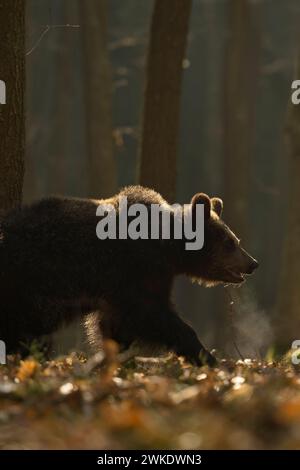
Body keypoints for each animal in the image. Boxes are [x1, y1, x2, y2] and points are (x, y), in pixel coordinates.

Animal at [0, 185, 258, 366]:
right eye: (229, 242)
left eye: (235, 240)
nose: (253, 263)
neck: (169, 248)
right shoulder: (136, 271)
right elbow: (155, 315)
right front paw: (206, 357)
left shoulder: (122, 289)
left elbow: (113, 325)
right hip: (33, 281)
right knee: (26, 327)